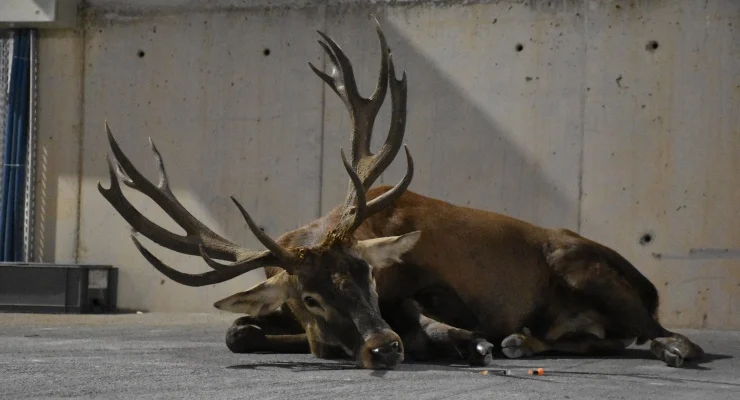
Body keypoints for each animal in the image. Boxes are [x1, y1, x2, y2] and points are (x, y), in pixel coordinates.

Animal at [99, 19, 705, 370]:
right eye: (309, 297)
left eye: (368, 274)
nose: (382, 346)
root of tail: (649, 286)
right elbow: (237, 332)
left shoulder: (442, 289)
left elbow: (430, 317)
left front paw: (459, 339)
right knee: (605, 338)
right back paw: (522, 342)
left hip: (585, 268)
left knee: (662, 333)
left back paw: (667, 346)